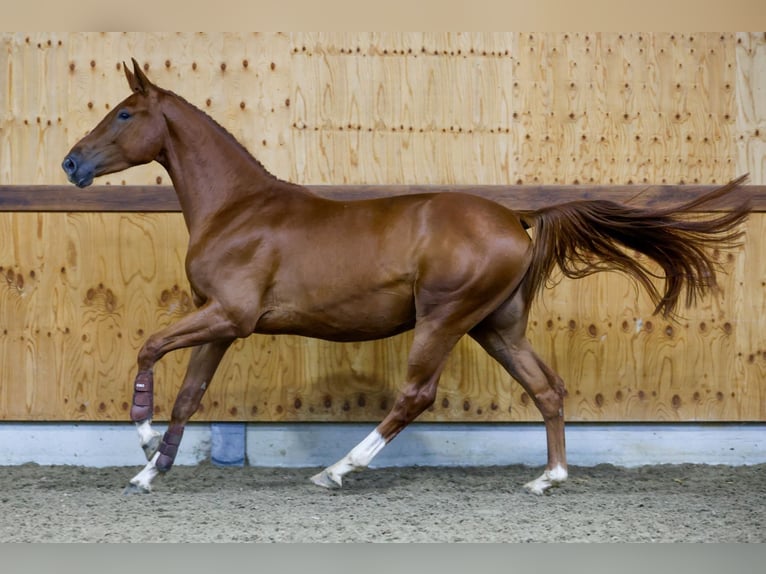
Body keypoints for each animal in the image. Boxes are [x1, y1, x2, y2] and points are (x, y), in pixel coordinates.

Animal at [64, 60, 752, 498]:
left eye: (124, 114)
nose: (72, 163)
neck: (238, 208)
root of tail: (518, 220)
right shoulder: (221, 323)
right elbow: (189, 395)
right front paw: (149, 473)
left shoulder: (229, 315)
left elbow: (149, 349)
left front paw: (142, 439)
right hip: (495, 327)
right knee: (547, 388)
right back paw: (547, 478)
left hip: (444, 319)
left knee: (416, 395)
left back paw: (338, 470)